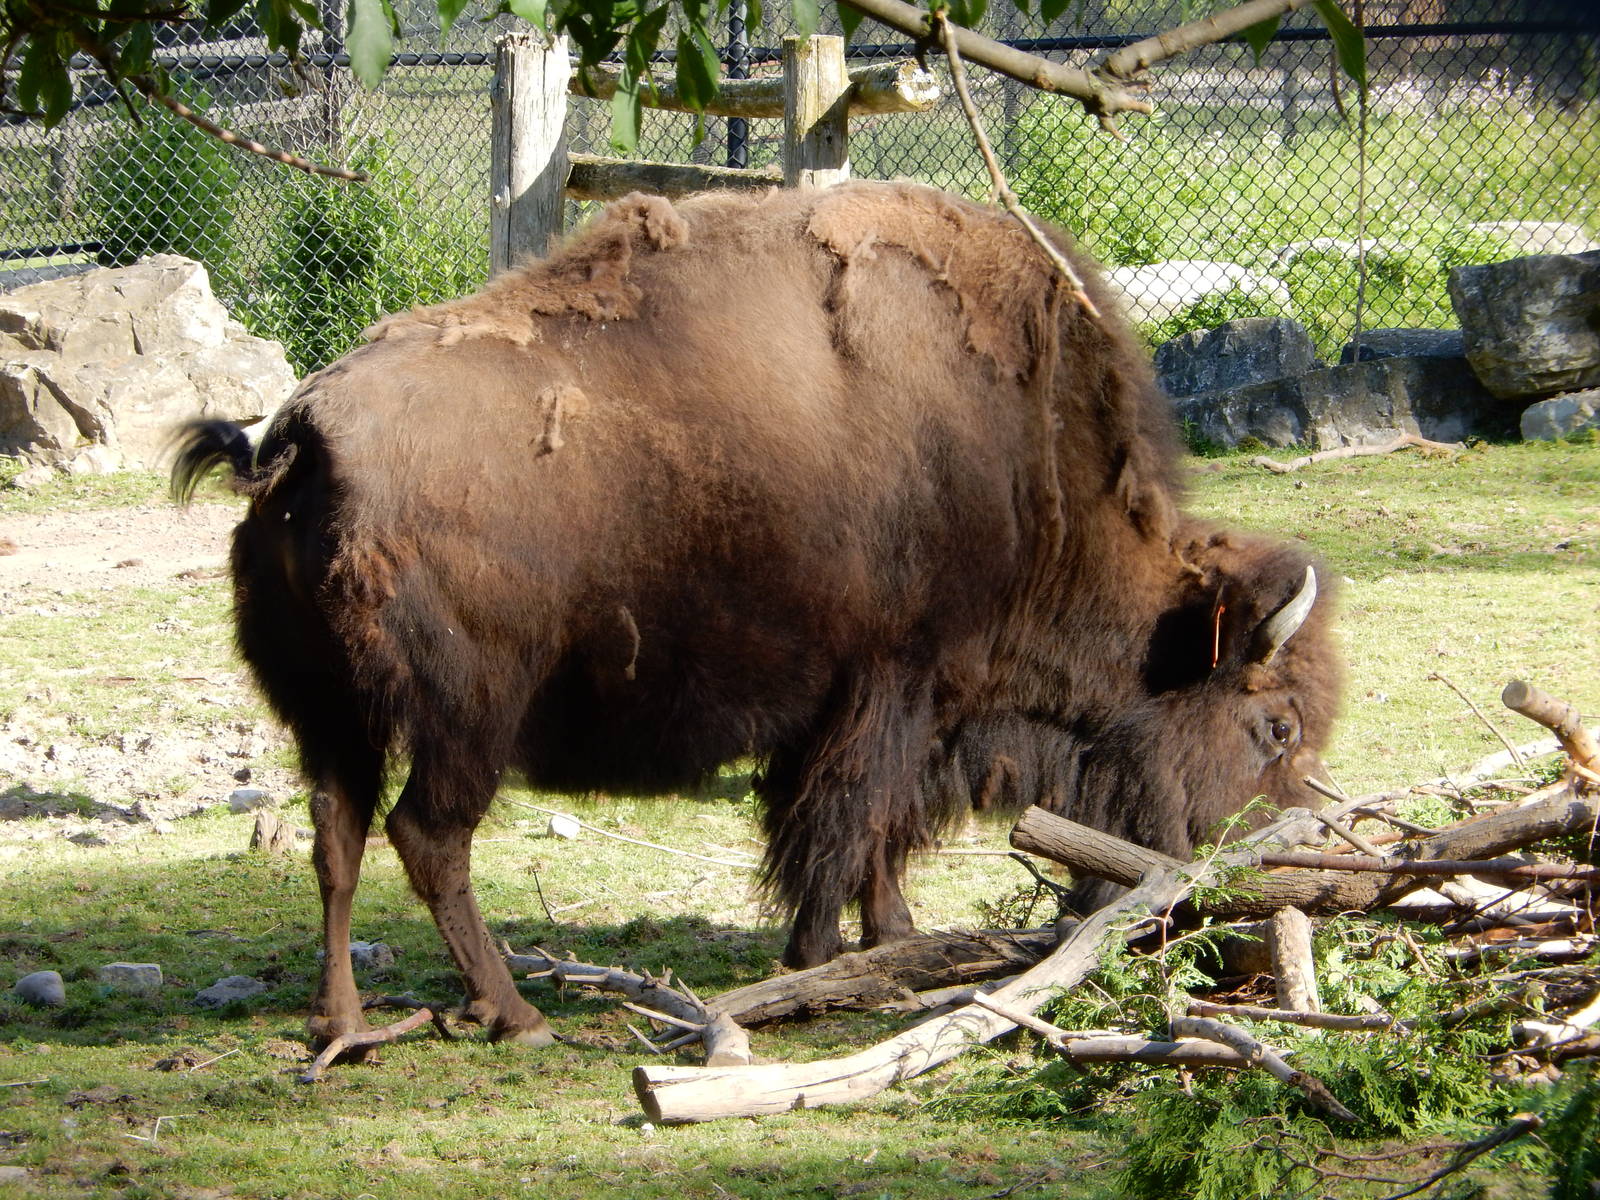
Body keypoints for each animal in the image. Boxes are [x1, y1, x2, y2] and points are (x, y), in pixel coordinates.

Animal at [172, 181, 1340, 1051]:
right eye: (1272, 726)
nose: (1262, 879)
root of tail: (298, 438)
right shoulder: (893, 689)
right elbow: (846, 826)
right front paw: (830, 960)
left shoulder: (890, 711)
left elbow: (871, 834)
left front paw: (887, 939)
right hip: (467, 716)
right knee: (428, 836)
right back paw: (511, 1014)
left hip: (330, 716)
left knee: (336, 838)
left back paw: (341, 1025)